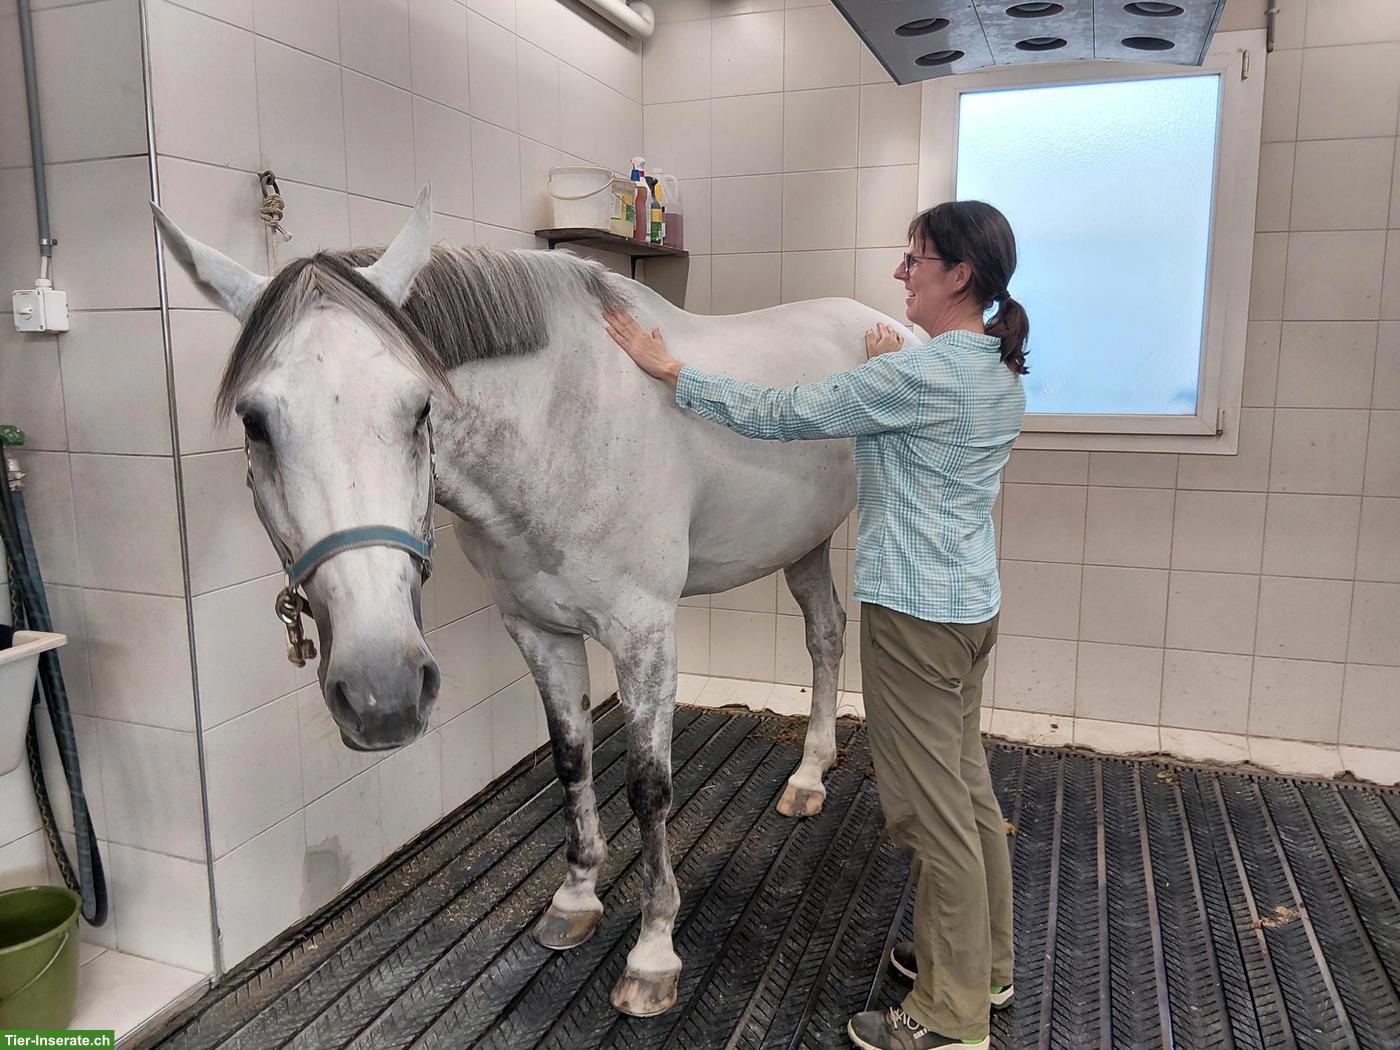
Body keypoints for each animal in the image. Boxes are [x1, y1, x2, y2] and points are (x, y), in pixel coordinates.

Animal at [153, 188, 911, 1016]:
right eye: (255, 422)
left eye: (420, 407)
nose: (383, 692)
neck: (560, 426)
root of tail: (890, 327)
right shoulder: (537, 629)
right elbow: (571, 758)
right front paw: (576, 899)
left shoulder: (645, 631)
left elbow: (649, 786)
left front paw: (653, 951)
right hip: (801, 542)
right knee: (826, 634)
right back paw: (808, 778)